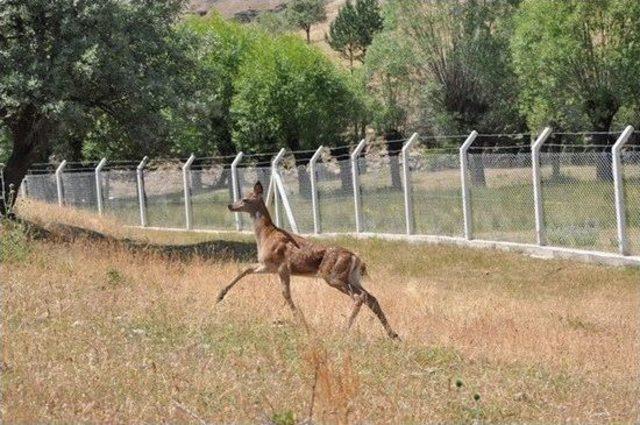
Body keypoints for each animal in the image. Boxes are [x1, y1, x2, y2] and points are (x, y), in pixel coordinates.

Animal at [218, 181, 398, 340]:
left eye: (245, 199)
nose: (230, 205)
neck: (266, 235)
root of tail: (357, 258)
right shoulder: (267, 265)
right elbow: (245, 269)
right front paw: (220, 295)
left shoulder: (283, 266)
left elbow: (285, 293)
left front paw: (298, 319)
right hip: (351, 277)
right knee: (371, 297)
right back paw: (393, 334)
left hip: (333, 275)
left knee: (359, 297)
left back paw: (345, 329)